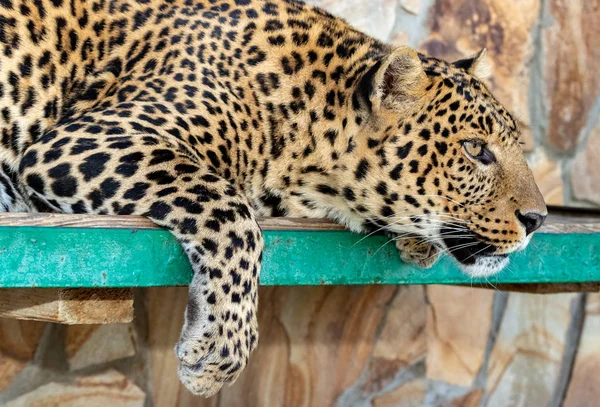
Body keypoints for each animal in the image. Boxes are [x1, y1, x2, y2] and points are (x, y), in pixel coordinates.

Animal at [0, 0, 548, 398]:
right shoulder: (83, 141)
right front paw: (220, 349)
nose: (538, 219)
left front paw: (418, 242)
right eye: (475, 150)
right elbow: (233, 215)